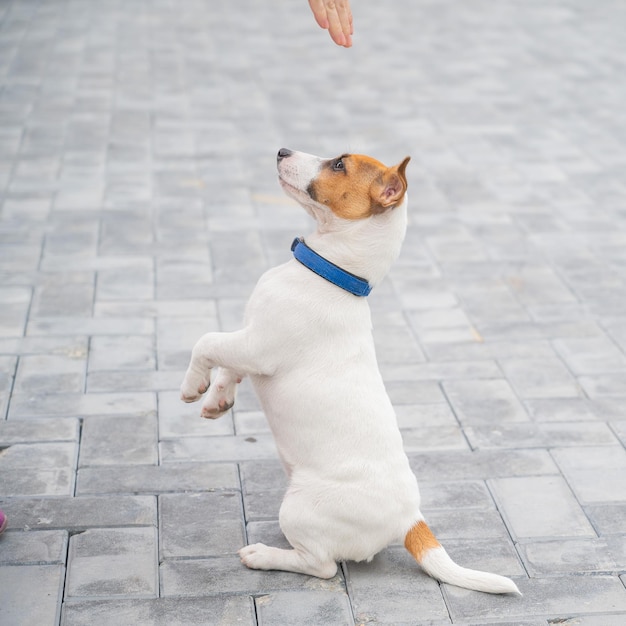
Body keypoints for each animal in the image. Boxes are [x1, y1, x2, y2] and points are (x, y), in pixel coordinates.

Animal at [182, 149, 520, 592]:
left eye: (339, 164)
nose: (282, 151)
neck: (332, 274)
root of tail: (409, 519)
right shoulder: (248, 341)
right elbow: (228, 365)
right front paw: (217, 399)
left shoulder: (257, 346)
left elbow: (207, 341)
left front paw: (192, 385)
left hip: (299, 508)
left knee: (321, 566)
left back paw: (264, 556)